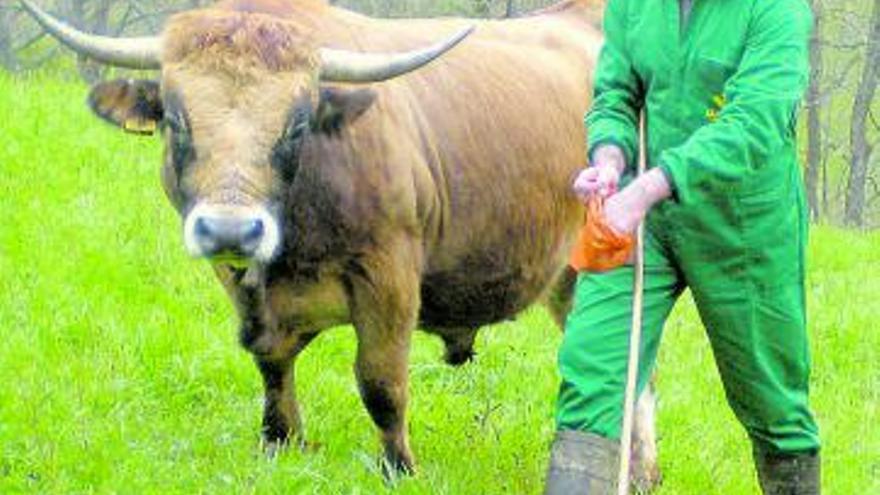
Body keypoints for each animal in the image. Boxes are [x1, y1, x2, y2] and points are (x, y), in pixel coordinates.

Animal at [18, 0, 660, 482]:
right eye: (176, 120)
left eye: (296, 124)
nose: (229, 228)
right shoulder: (242, 286)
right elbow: (271, 366)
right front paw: (281, 444)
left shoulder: (389, 277)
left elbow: (380, 382)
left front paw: (399, 468)